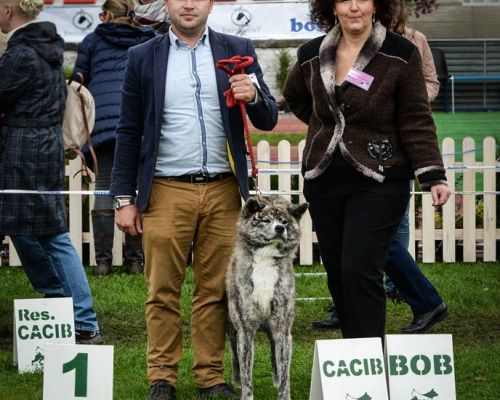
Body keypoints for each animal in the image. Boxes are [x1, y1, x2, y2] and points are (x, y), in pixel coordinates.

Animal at [227, 195, 308, 398]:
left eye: (285, 222)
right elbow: (246, 372)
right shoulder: (245, 330)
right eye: (266, 220)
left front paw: (283, 392)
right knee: (235, 356)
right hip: (231, 328)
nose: (280, 228)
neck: (265, 258)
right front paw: (245, 393)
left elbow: (285, 371)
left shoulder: (282, 329)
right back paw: (235, 381)